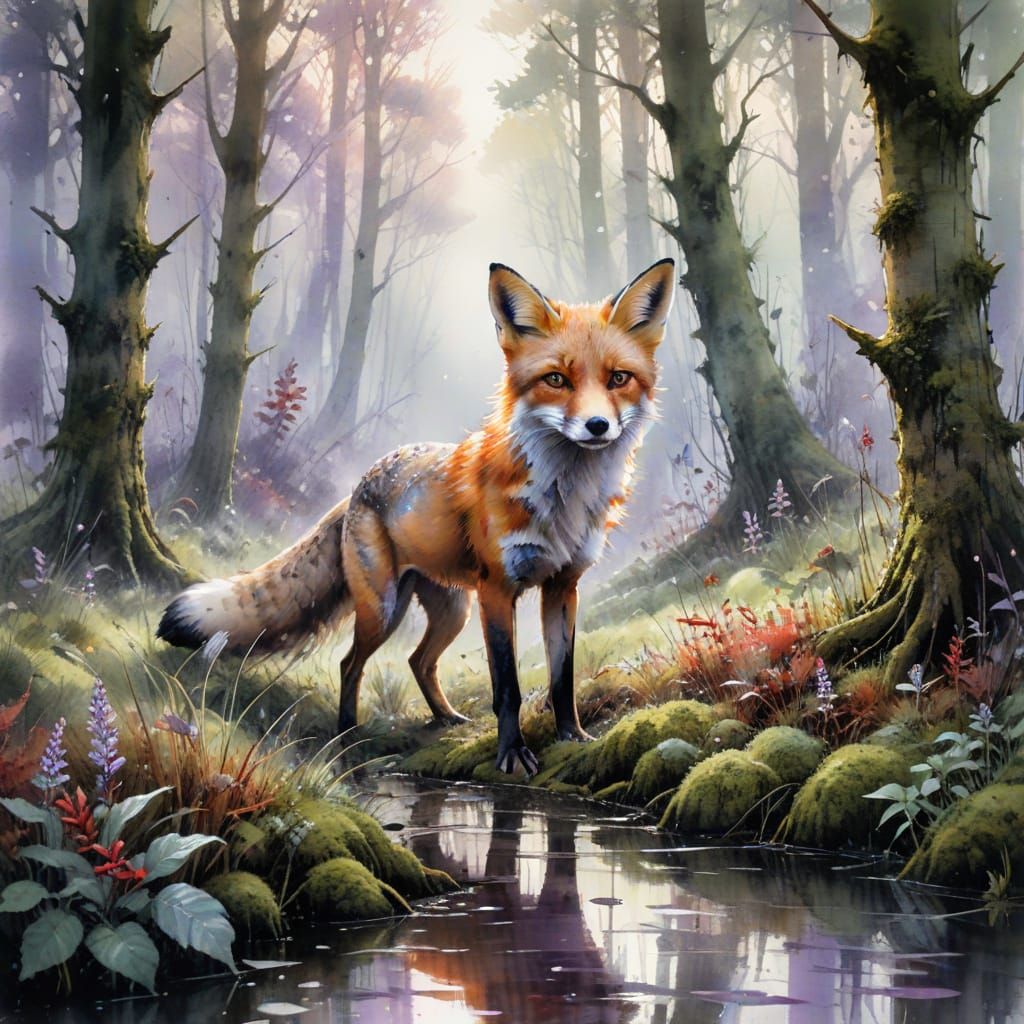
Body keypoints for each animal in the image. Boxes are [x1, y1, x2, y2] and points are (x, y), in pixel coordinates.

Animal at [158, 258, 676, 775]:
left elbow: (561, 679)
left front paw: (573, 737)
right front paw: (512, 754)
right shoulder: (497, 591)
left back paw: (446, 718)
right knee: (351, 663)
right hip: (386, 607)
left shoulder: (563, 586)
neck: (563, 497)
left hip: (452, 610)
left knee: (418, 661)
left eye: (618, 379)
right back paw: (348, 735)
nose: (597, 426)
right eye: (556, 380)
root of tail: (358, 486)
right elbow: (506, 688)